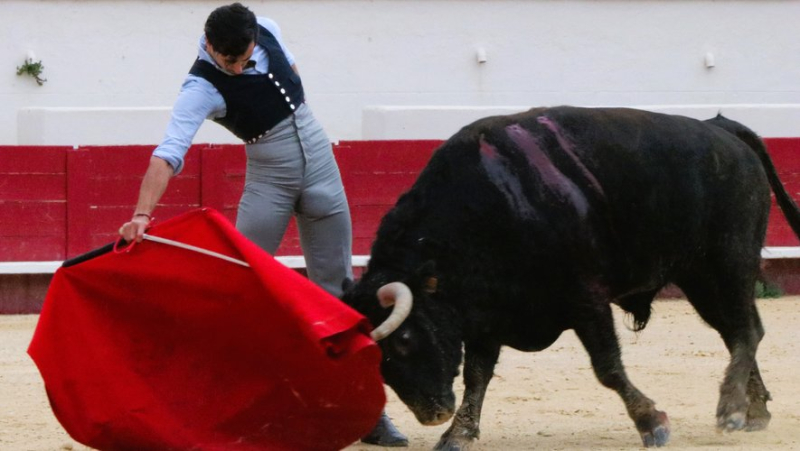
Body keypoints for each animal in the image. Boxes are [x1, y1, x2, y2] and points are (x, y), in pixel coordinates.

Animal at [340, 106, 800, 448]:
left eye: (403, 340)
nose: (432, 414)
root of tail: (721, 129)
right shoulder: (488, 314)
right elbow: (477, 376)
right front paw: (457, 436)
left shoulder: (586, 299)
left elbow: (607, 367)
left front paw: (652, 423)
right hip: (698, 276)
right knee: (737, 332)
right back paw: (753, 412)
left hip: (727, 262)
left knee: (746, 331)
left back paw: (732, 410)